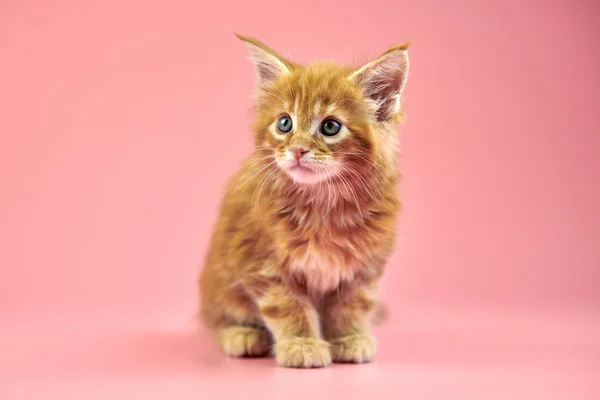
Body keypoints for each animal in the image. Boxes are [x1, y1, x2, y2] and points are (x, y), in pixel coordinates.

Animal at [199, 35, 410, 368]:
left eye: (330, 127)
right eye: (285, 124)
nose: (297, 150)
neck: (322, 203)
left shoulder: (364, 266)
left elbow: (353, 304)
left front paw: (349, 338)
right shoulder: (260, 261)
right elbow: (287, 306)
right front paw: (302, 344)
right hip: (219, 281)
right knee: (217, 317)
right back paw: (242, 334)